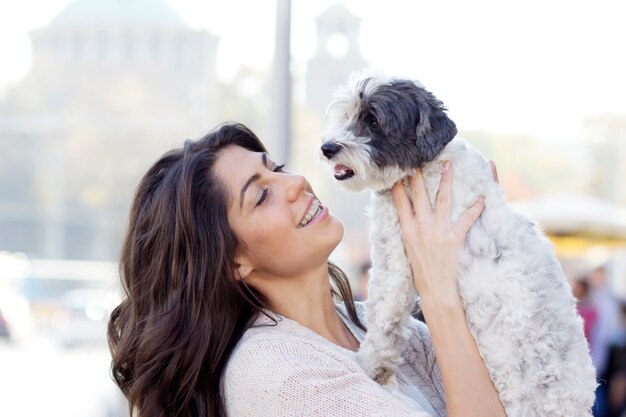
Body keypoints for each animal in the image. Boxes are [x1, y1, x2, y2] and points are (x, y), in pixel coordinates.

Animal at [322, 73, 596, 414]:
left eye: (373, 120)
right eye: (348, 114)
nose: (327, 148)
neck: (430, 165)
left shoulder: (395, 260)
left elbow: (385, 317)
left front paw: (371, 364)